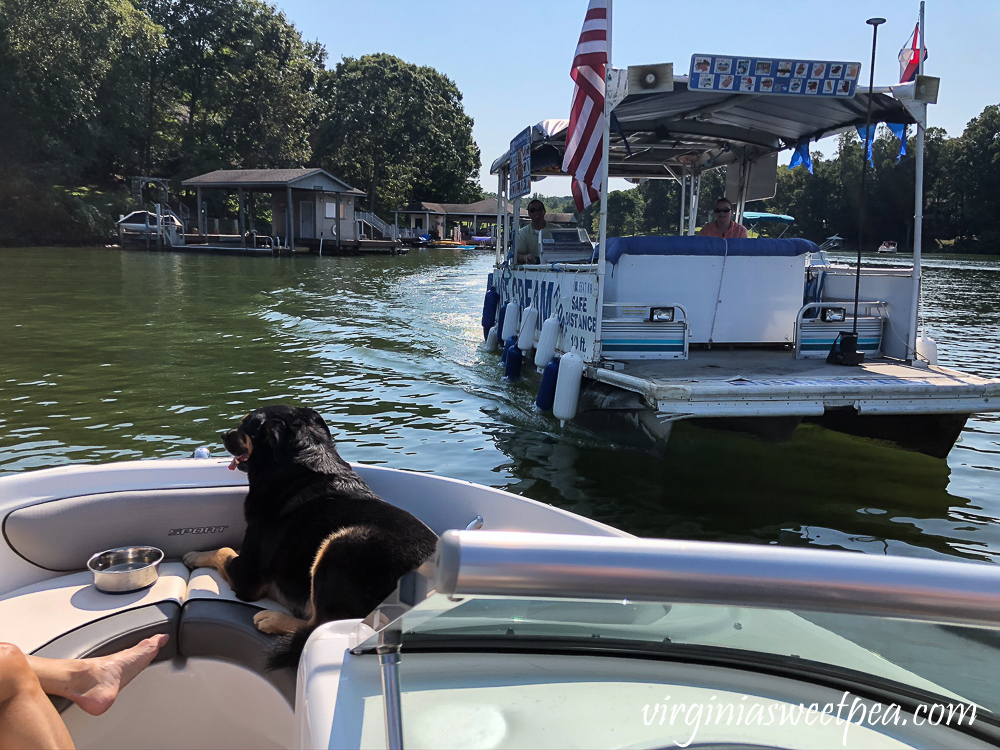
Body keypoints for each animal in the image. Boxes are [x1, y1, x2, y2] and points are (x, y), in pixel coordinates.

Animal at [183, 408, 438, 668]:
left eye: (246, 425)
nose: (223, 435)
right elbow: (228, 549)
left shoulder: (247, 578)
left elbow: (222, 551)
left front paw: (194, 556)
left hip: (340, 545)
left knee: (321, 624)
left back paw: (273, 619)